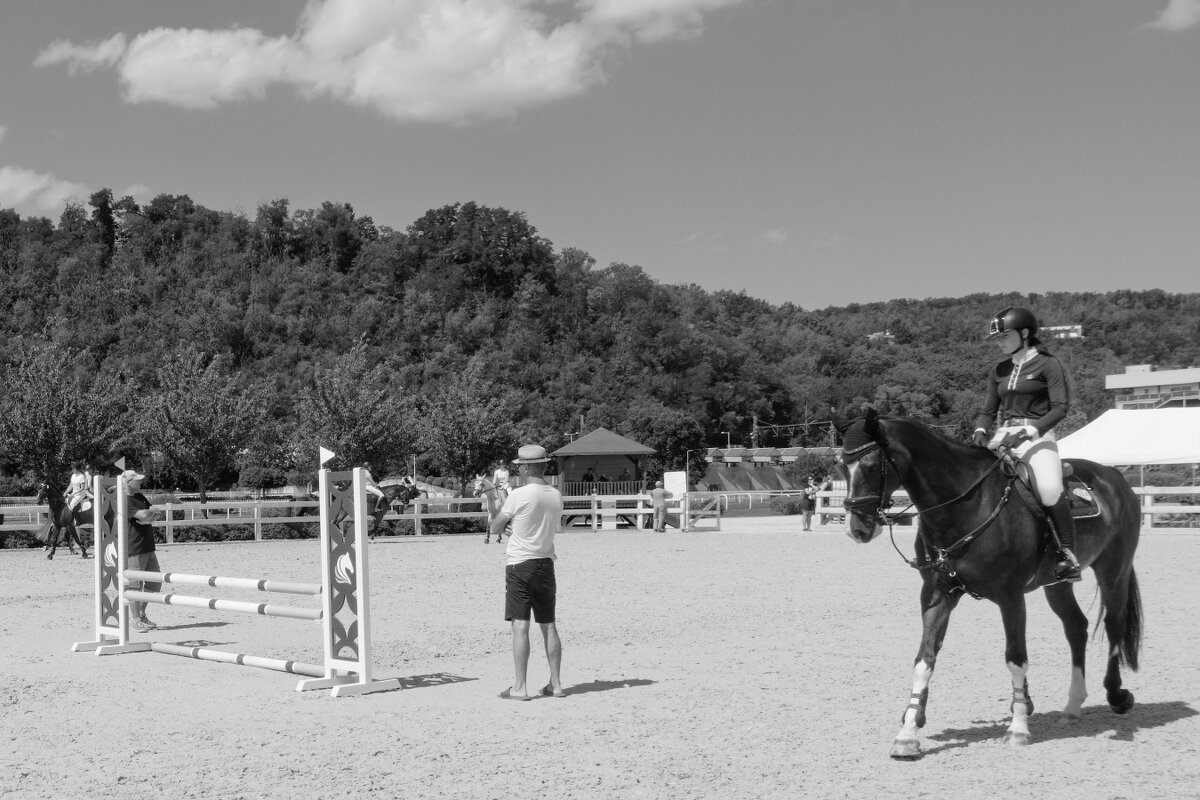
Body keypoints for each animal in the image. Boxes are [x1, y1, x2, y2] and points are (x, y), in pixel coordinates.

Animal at [835, 410, 1142, 762]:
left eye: (872, 466)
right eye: (841, 467)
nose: (856, 529)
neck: (964, 505)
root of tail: (1113, 476)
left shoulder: (1010, 597)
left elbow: (1016, 657)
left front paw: (1018, 726)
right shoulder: (938, 594)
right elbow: (925, 659)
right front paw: (908, 733)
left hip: (1113, 570)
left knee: (1114, 623)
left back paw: (1117, 695)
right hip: (1057, 583)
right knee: (1076, 627)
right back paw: (1072, 705)